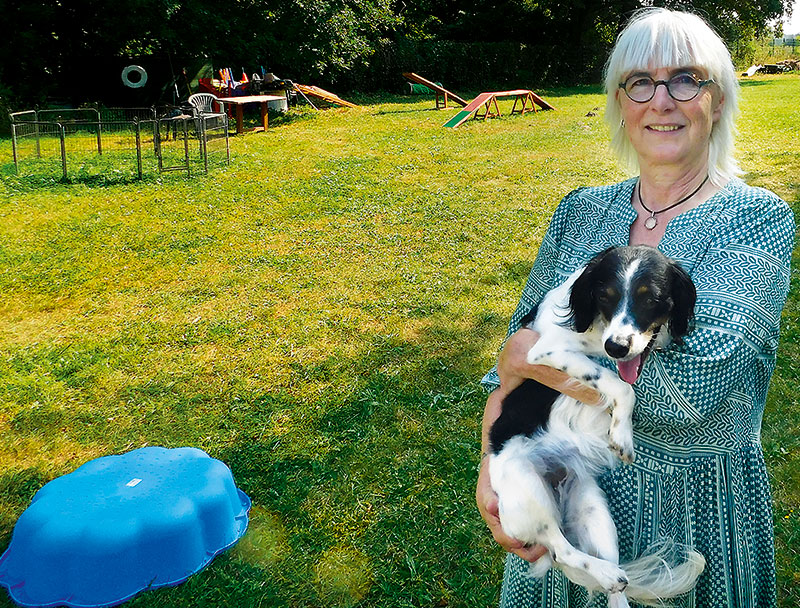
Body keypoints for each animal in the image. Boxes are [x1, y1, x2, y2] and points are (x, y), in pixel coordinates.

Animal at [488, 246, 708, 608]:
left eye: (651, 299)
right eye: (605, 296)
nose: (616, 347)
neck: (597, 330)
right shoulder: (545, 351)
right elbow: (620, 385)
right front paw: (622, 436)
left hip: (594, 510)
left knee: (611, 583)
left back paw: (612, 579)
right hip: (528, 491)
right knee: (563, 551)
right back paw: (604, 573)